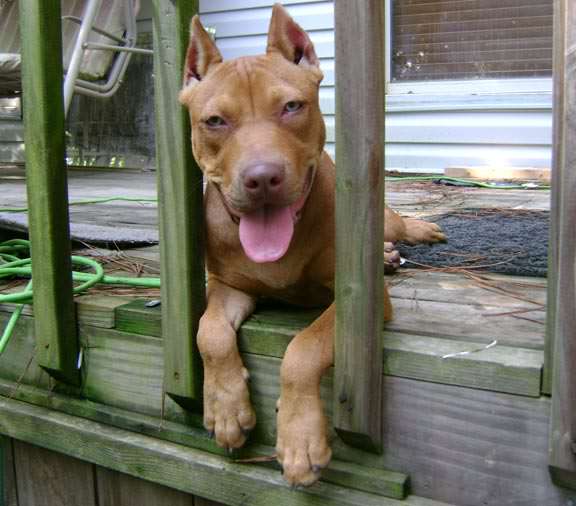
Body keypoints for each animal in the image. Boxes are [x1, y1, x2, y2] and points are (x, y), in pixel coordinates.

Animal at [180, 2, 446, 486]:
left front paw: (300, 440)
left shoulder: (359, 301)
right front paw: (225, 407)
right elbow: (208, 332)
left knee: (393, 223)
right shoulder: (229, 287)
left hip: (380, 219)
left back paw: (415, 232)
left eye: (291, 107)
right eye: (215, 121)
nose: (262, 177)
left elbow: (304, 348)